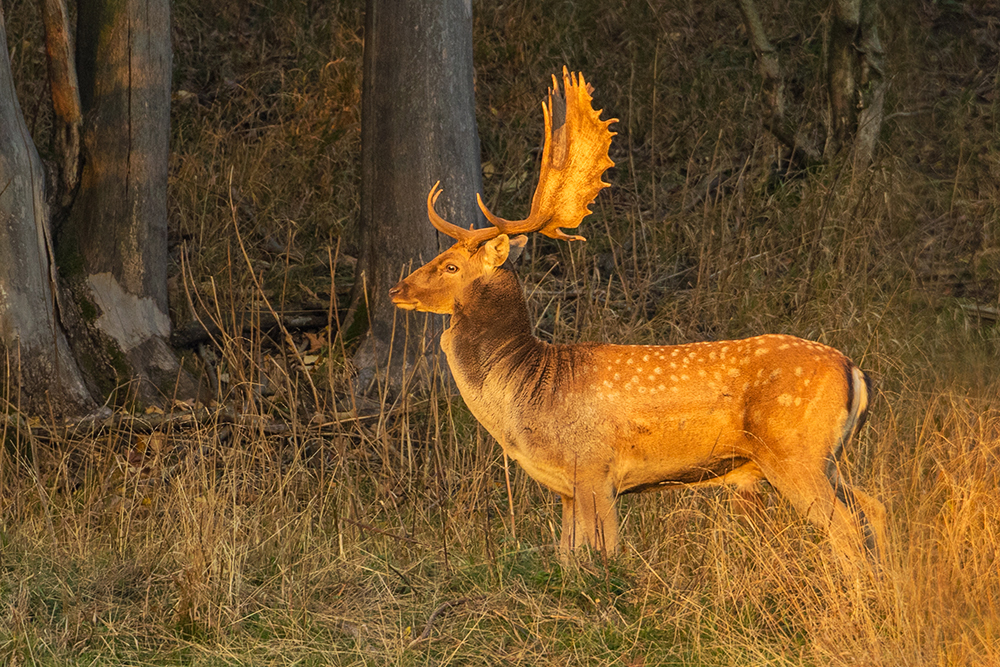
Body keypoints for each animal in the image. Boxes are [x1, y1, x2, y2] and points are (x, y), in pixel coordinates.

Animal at [386, 69, 888, 564]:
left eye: (451, 265)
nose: (397, 289)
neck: (528, 387)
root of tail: (854, 371)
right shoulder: (568, 490)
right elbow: (567, 560)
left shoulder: (594, 469)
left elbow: (606, 557)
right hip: (829, 458)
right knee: (875, 507)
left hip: (794, 451)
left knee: (846, 527)